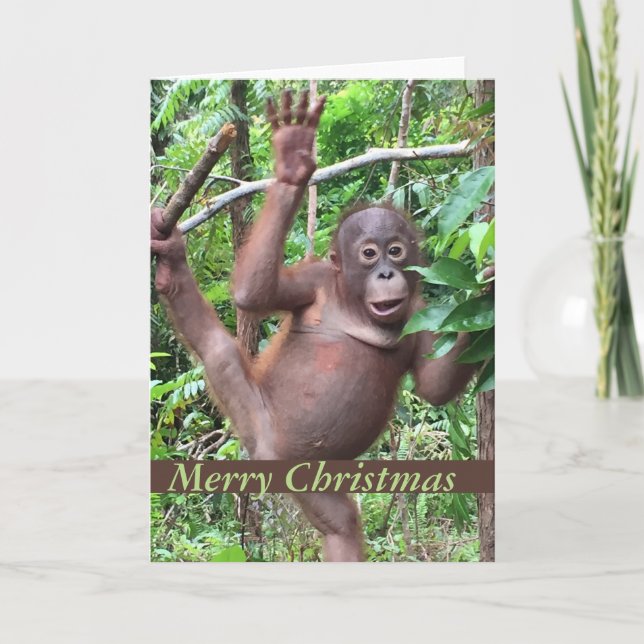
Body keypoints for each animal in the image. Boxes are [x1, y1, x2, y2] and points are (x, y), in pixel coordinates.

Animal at [151, 90, 479, 561]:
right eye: (368, 254)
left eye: (396, 251)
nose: (385, 273)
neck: (356, 306)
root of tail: (267, 458)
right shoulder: (313, 280)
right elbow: (254, 295)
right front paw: (293, 163)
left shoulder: (419, 307)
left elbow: (433, 388)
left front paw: (483, 294)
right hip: (257, 421)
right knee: (218, 350)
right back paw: (174, 267)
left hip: (308, 479)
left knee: (340, 526)